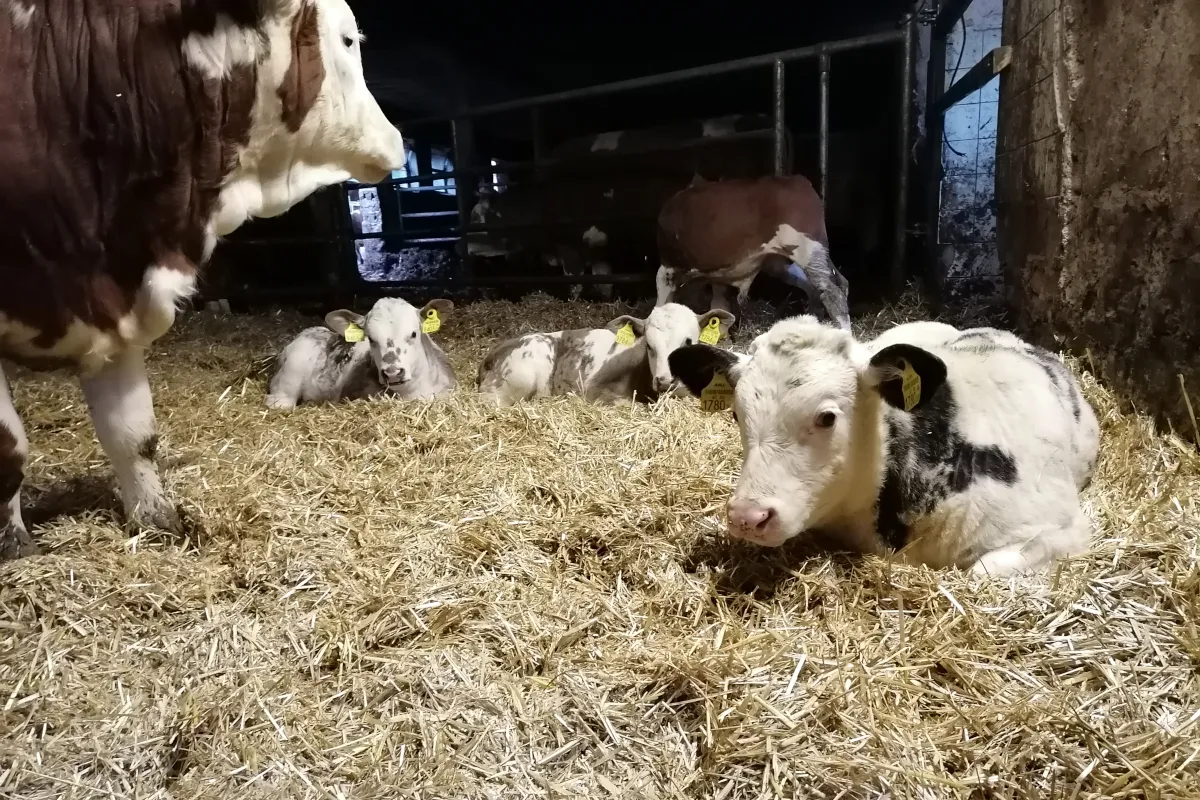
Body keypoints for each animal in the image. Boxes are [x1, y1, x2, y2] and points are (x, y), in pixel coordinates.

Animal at [0, 0, 407, 559]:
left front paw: (161, 525)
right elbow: (9, 451)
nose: (398, 139)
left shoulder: (121, 299)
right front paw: (16, 548)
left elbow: (133, 435)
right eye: (348, 38)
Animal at [655, 175, 853, 331]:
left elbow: (661, 302)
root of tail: (799, 180)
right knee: (824, 285)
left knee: (833, 290)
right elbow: (718, 307)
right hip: (781, 261)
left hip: (808, 249)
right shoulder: (716, 277)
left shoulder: (668, 267)